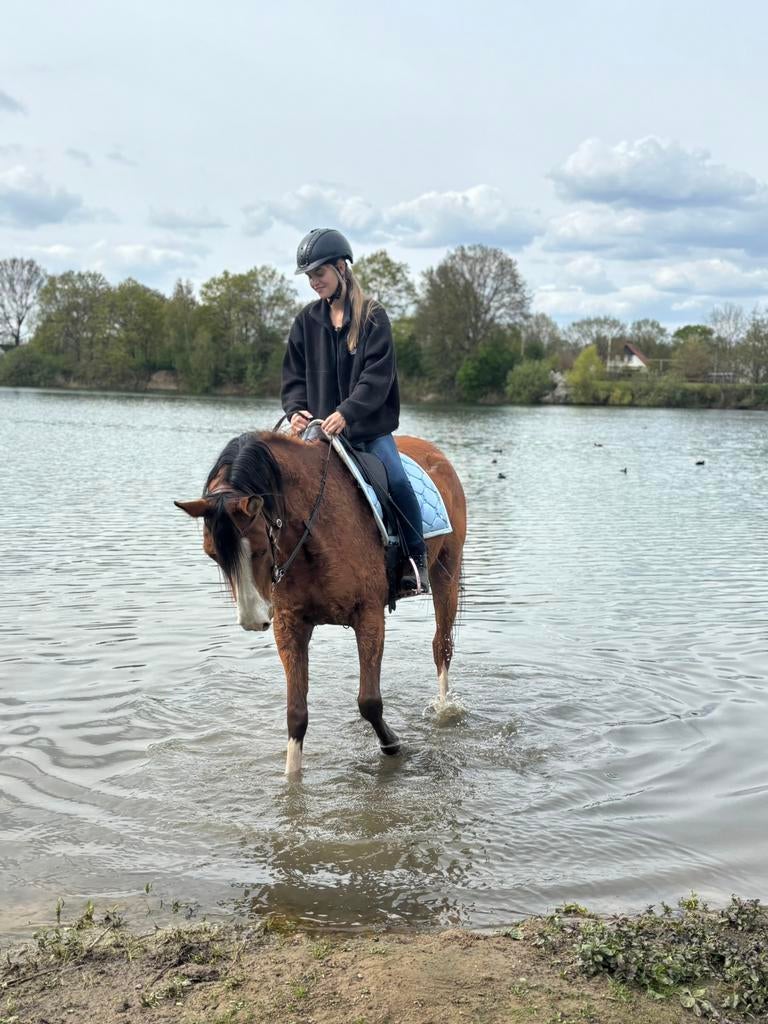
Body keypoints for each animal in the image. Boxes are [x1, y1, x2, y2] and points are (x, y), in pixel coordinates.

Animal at [175, 430, 467, 775]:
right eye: (213, 554)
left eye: (259, 549)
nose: (252, 620)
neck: (311, 528)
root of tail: (435, 453)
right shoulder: (290, 625)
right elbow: (296, 714)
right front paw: (291, 779)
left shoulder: (368, 615)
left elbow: (369, 701)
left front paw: (391, 744)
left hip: (446, 571)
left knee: (441, 645)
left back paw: (443, 708)